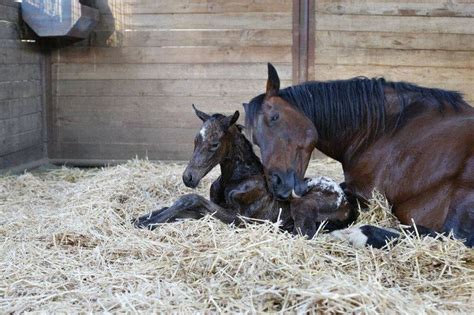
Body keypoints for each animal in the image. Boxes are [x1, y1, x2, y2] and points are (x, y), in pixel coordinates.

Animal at [134, 106, 356, 239]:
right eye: (195, 140)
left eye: (215, 144)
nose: (188, 177)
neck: (237, 178)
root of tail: (347, 202)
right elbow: (183, 208)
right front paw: (143, 218)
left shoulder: (240, 218)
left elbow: (190, 199)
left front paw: (149, 222)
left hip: (302, 204)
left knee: (304, 233)